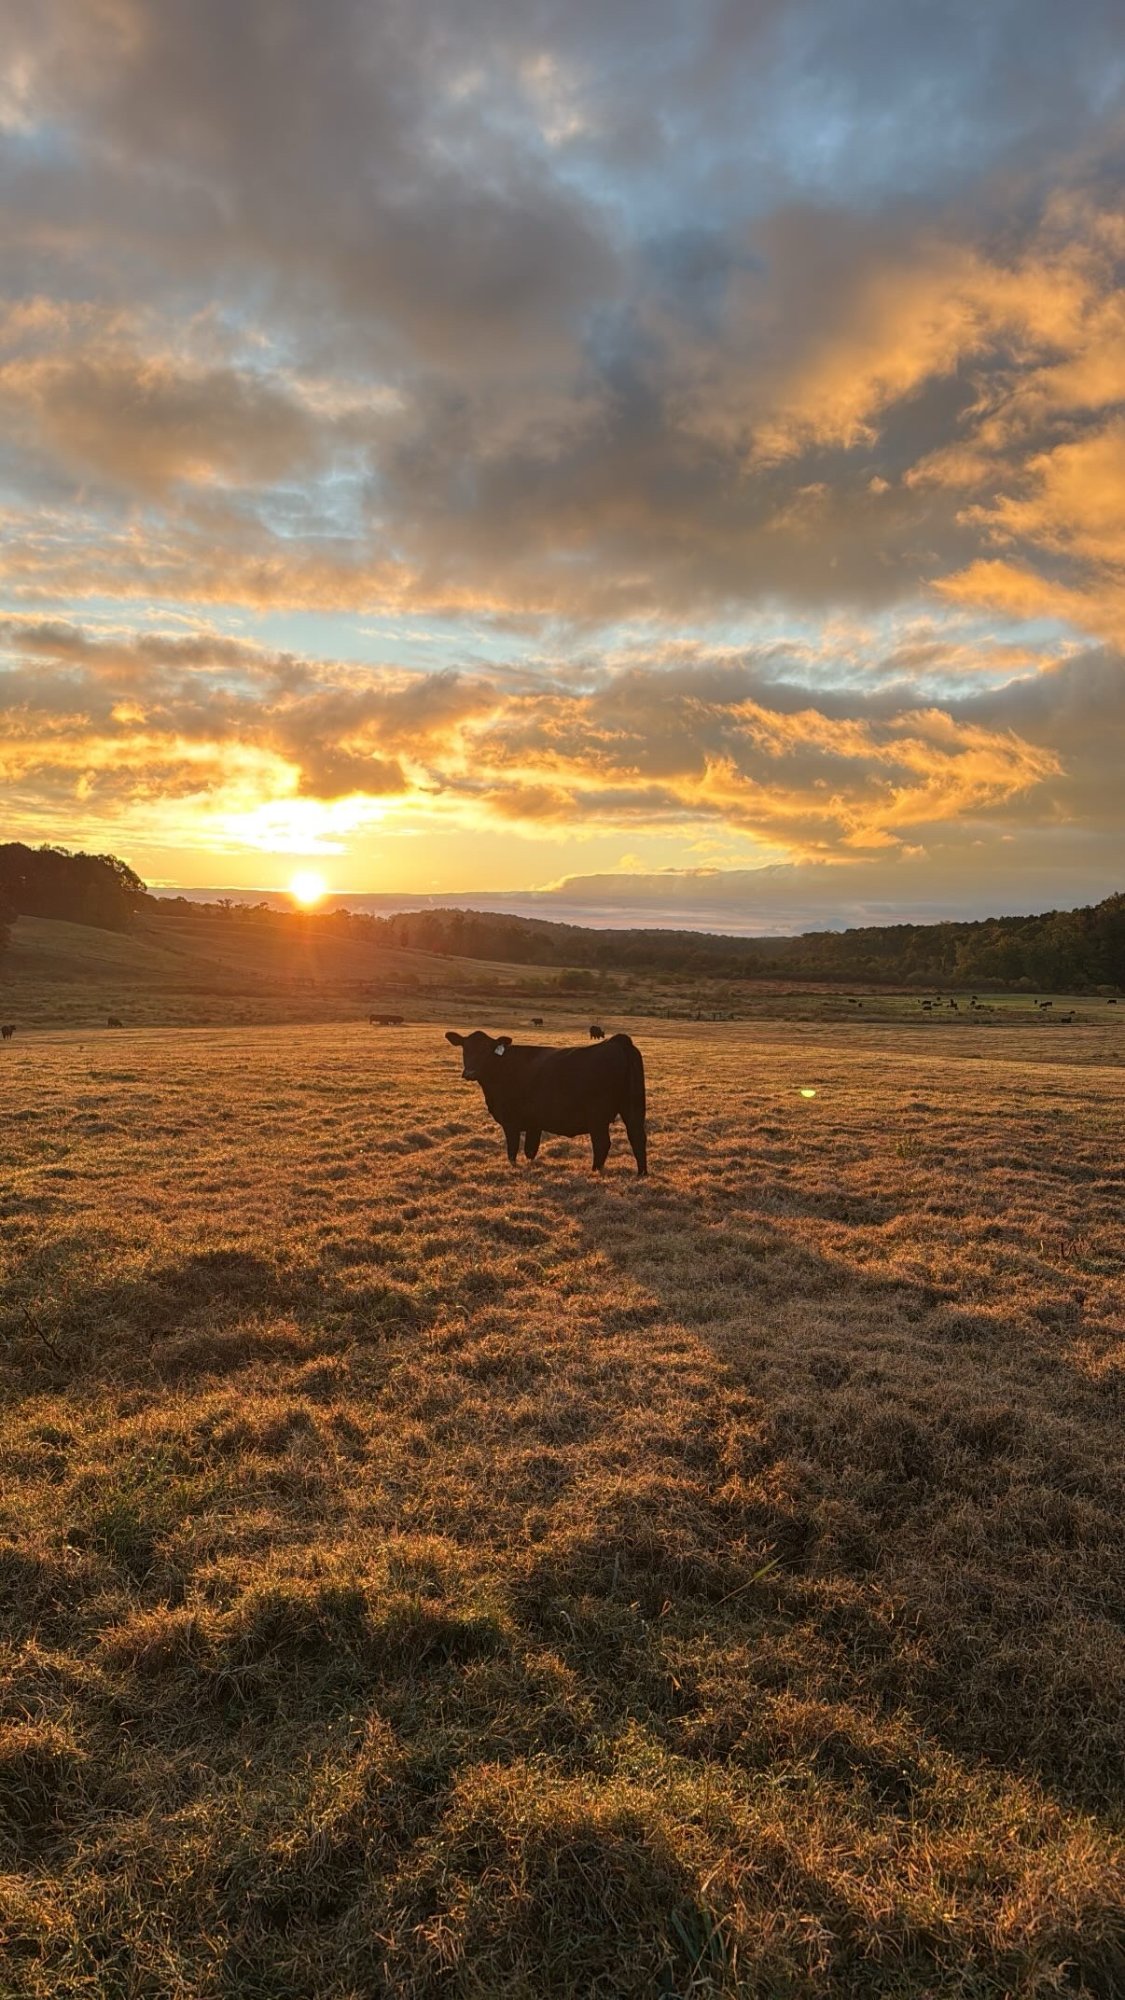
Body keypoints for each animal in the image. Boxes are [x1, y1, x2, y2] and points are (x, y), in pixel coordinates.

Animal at [445, 1029, 647, 1176]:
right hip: (633, 1108)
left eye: (486, 1051)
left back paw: (595, 1171)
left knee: (602, 1143)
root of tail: (616, 1042)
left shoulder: (511, 1120)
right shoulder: (535, 1123)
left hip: (597, 1115)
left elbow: (512, 1150)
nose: (469, 1072)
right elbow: (530, 1150)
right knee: (638, 1137)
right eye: (465, 1048)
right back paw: (641, 1173)